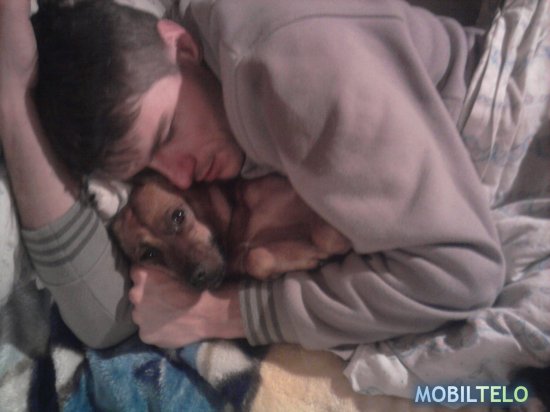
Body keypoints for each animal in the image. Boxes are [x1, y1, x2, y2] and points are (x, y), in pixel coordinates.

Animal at [111, 171, 351, 290]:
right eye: (149, 254)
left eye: (178, 216)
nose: (197, 278)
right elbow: (256, 258)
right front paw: (311, 255)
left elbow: (325, 234)